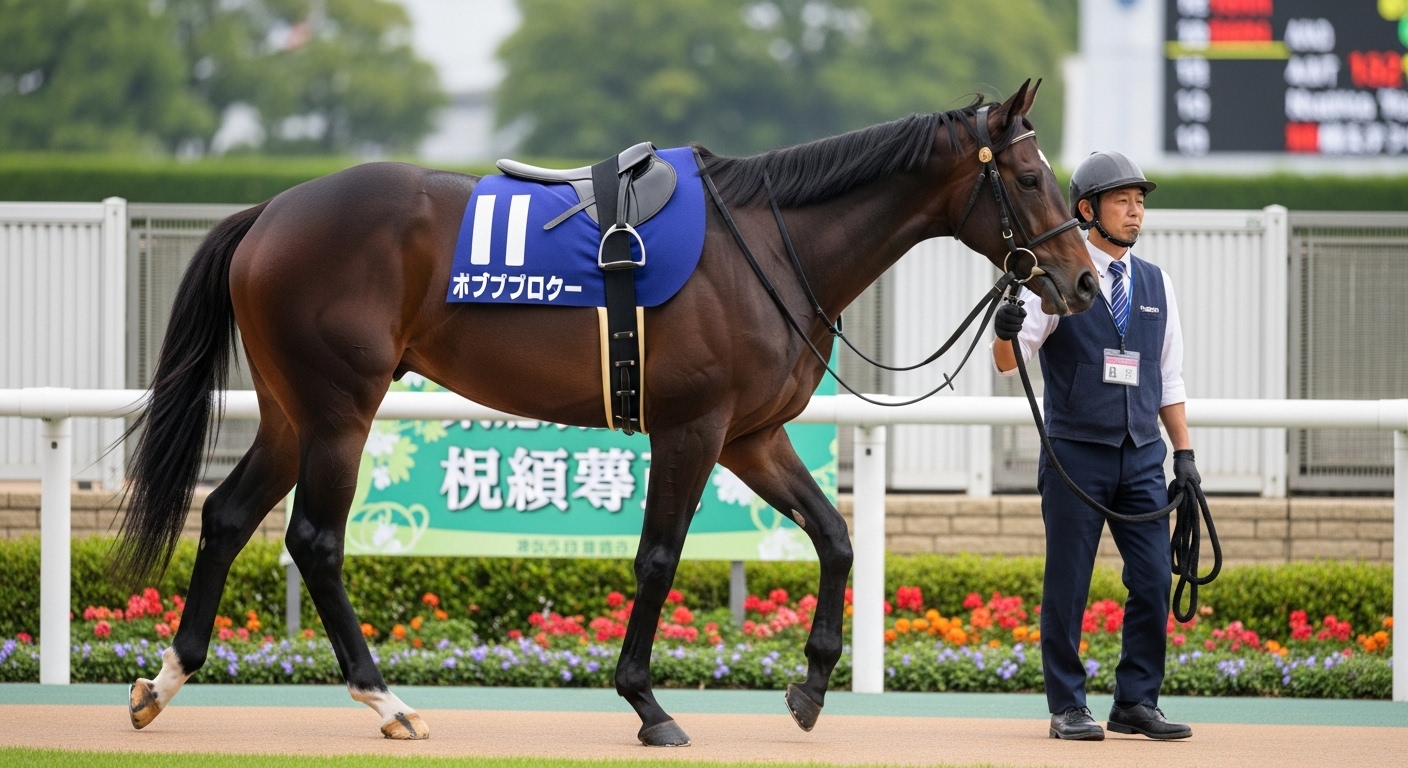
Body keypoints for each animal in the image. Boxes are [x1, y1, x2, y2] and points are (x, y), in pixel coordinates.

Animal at [118, 79, 1096, 746]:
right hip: (340, 411)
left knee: (228, 514)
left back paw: (165, 681)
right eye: (1028, 175)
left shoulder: (752, 435)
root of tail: (270, 210)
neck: (767, 245)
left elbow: (836, 536)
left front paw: (812, 686)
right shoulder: (693, 429)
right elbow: (658, 557)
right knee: (314, 540)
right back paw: (384, 697)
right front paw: (647, 701)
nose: (1085, 282)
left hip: (293, 413)